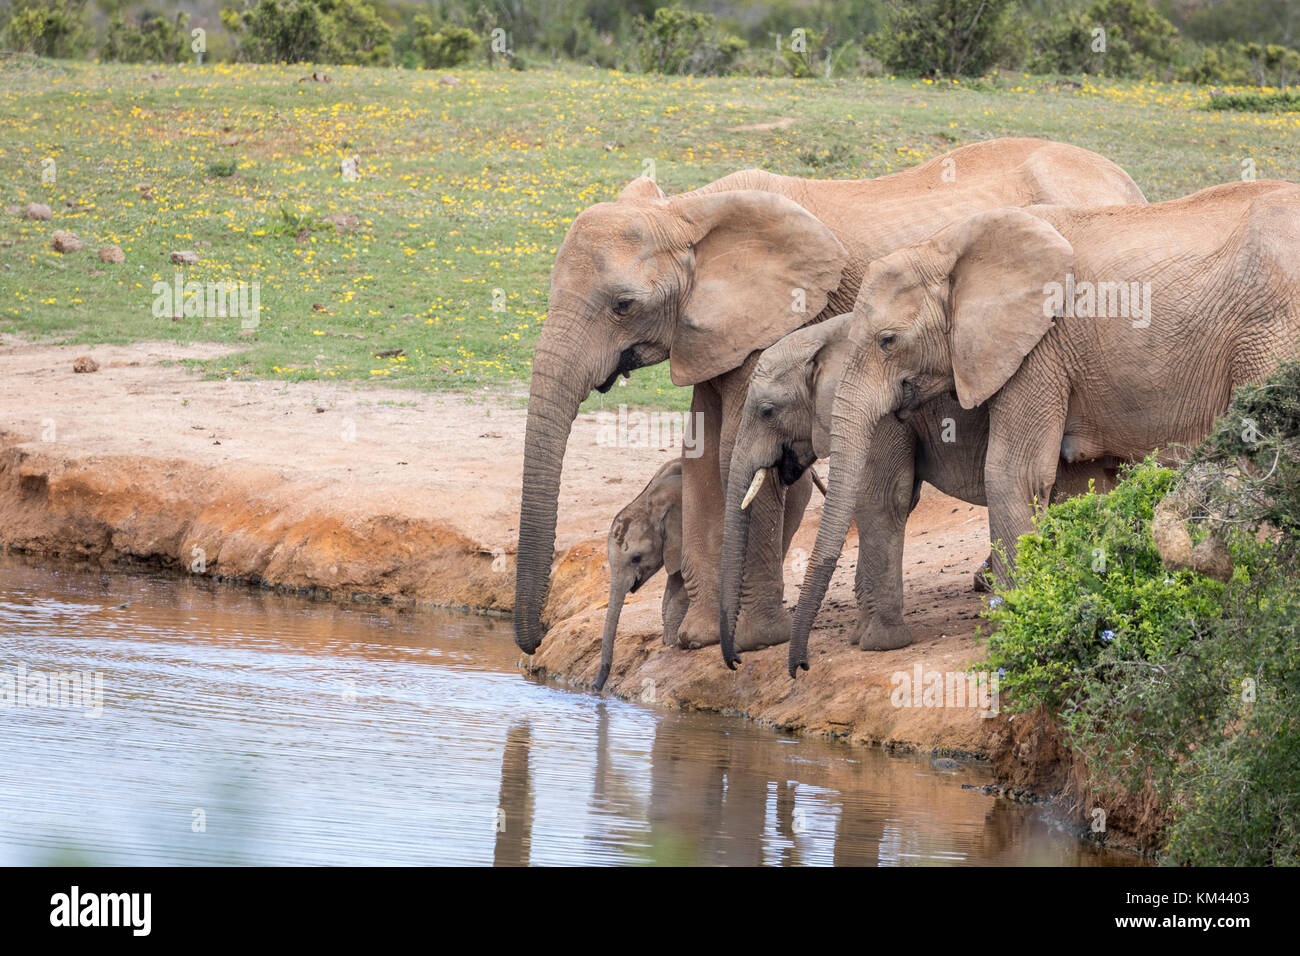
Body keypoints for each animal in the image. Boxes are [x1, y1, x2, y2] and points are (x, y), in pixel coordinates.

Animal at [512, 136, 1144, 658]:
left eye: (623, 305)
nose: (534, 641)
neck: (689, 213)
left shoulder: (786, 316)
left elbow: (733, 456)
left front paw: (750, 642)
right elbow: (703, 457)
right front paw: (699, 640)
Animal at [785, 179, 1300, 671]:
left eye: (888, 340)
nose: (801, 667)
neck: (946, 247)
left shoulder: (1038, 349)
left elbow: (1013, 474)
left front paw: (1014, 625)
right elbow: (1078, 483)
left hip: (1270, 335)